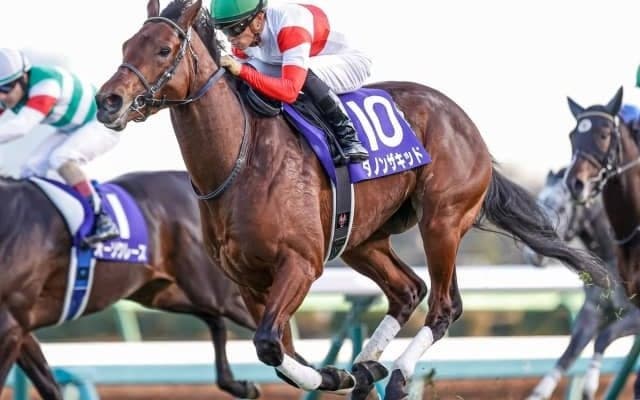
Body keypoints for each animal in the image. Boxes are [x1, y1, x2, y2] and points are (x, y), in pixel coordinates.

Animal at [0, 170, 259, 400]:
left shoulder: (11, 324)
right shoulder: (20, 327)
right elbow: (49, 385)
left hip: (214, 292)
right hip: (164, 293)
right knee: (215, 320)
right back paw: (238, 385)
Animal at [94, 1, 613, 398]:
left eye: (163, 49)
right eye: (124, 47)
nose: (108, 102)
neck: (241, 161)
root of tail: (465, 123)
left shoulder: (301, 263)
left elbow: (270, 345)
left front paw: (334, 375)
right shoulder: (247, 279)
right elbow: (279, 351)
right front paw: (340, 373)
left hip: (442, 221)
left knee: (444, 305)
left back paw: (398, 373)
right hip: (363, 238)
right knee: (408, 291)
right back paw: (368, 366)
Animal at [523, 168, 640, 400]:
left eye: (561, 208)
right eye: (539, 202)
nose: (533, 256)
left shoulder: (636, 317)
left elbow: (604, 336)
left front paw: (589, 386)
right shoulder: (592, 311)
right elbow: (570, 352)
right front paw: (539, 393)